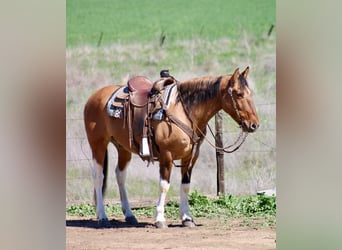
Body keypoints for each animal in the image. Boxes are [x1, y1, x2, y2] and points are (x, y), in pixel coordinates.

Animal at [83, 66, 260, 229]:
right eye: (239, 94)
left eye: (250, 93)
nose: (254, 125)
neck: (184, 110)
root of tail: (94, 97)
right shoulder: (166, 156)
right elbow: (164, 185)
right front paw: (160, 219)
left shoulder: (190, 157)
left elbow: (185, 186)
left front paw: (187, 218)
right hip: (98, 144)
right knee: (98, 177)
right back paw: (102, 217)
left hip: (123, 148)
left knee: (120, 175)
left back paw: (129, 215)